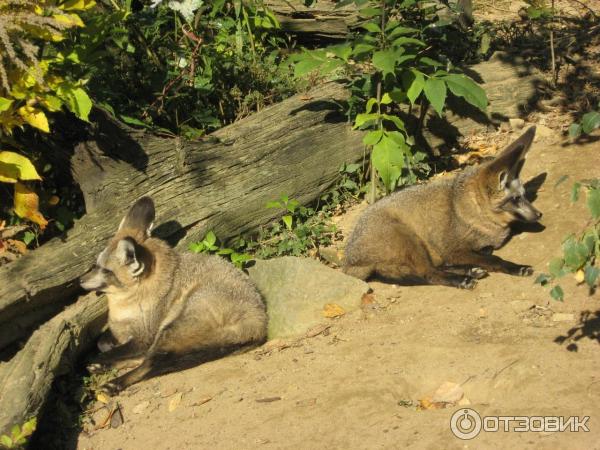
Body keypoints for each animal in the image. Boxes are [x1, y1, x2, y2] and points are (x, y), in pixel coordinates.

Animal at [79, 197, 268, 394]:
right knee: (149, 358)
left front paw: (101, 361)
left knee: (151, 363)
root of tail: (258, 322)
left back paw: (115, 383)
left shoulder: (145, 336)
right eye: (95, 265)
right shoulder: (125, 331)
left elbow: (103, 353)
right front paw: (105, 357)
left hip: (170, 329)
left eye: (105, 270)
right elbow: (102, 343)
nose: (80, 281)